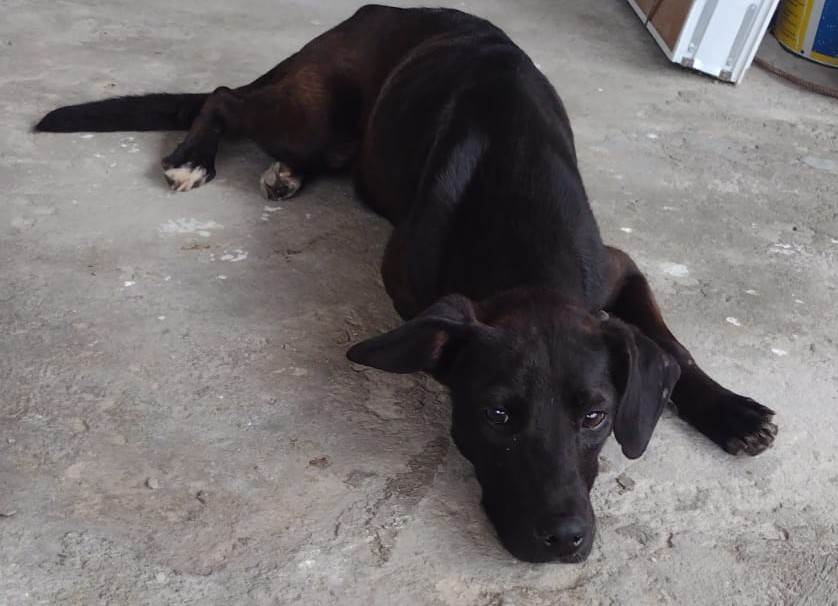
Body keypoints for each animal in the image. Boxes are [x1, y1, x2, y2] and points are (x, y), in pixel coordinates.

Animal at [35, 5, 777, 563]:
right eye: (497, 415)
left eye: (595, 416)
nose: (565, 540)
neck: (521, 214)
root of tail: (377, 11)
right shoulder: (409, 281)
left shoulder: (619, 268)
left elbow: (671, 348)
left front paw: (731, 411)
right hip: (315, 113)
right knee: (224, 97)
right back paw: (195, 155)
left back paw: (284, 175)